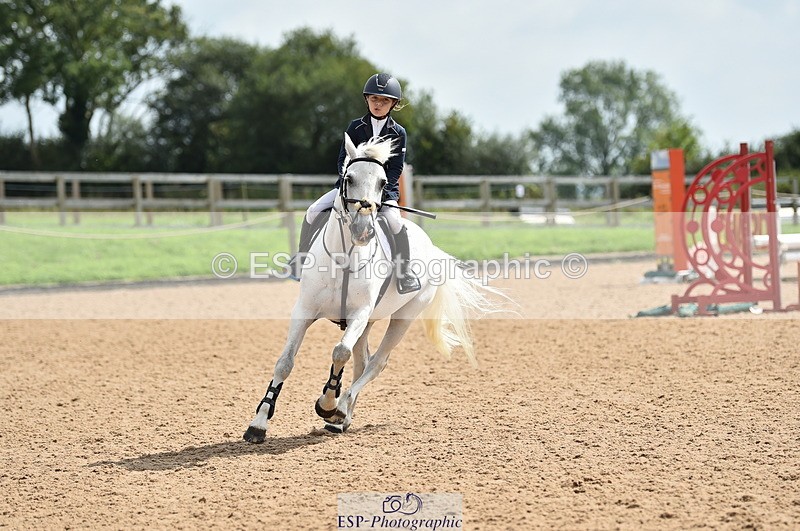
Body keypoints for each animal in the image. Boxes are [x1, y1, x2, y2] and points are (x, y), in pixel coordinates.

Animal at [243, 134, 504, 443]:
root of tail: (432, 247)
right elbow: (286, 362)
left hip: (402, 318)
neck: (344, 258)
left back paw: (340, 409)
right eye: (349, 178)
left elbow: (340, 352)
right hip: (369, 323)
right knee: (362, 362)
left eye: (382, 182)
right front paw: (259, 424)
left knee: (376, 363)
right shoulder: (305, 310)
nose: (363, 231)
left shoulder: (359, 313)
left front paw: (327, 403)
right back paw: (340, 419)